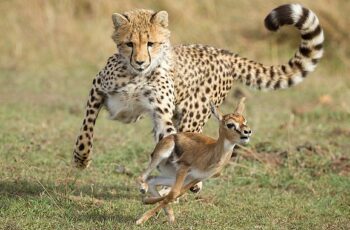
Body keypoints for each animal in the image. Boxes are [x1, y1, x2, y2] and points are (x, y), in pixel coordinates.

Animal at [72, 3, 324, 171]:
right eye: (129, 44)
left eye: (151, 43)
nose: (141, 61)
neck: (137, 75)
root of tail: (224, 52)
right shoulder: (97, 88)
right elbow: (86, 127)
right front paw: (81, 158)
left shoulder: (161, 114)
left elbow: (171, 140)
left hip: (194, 114)